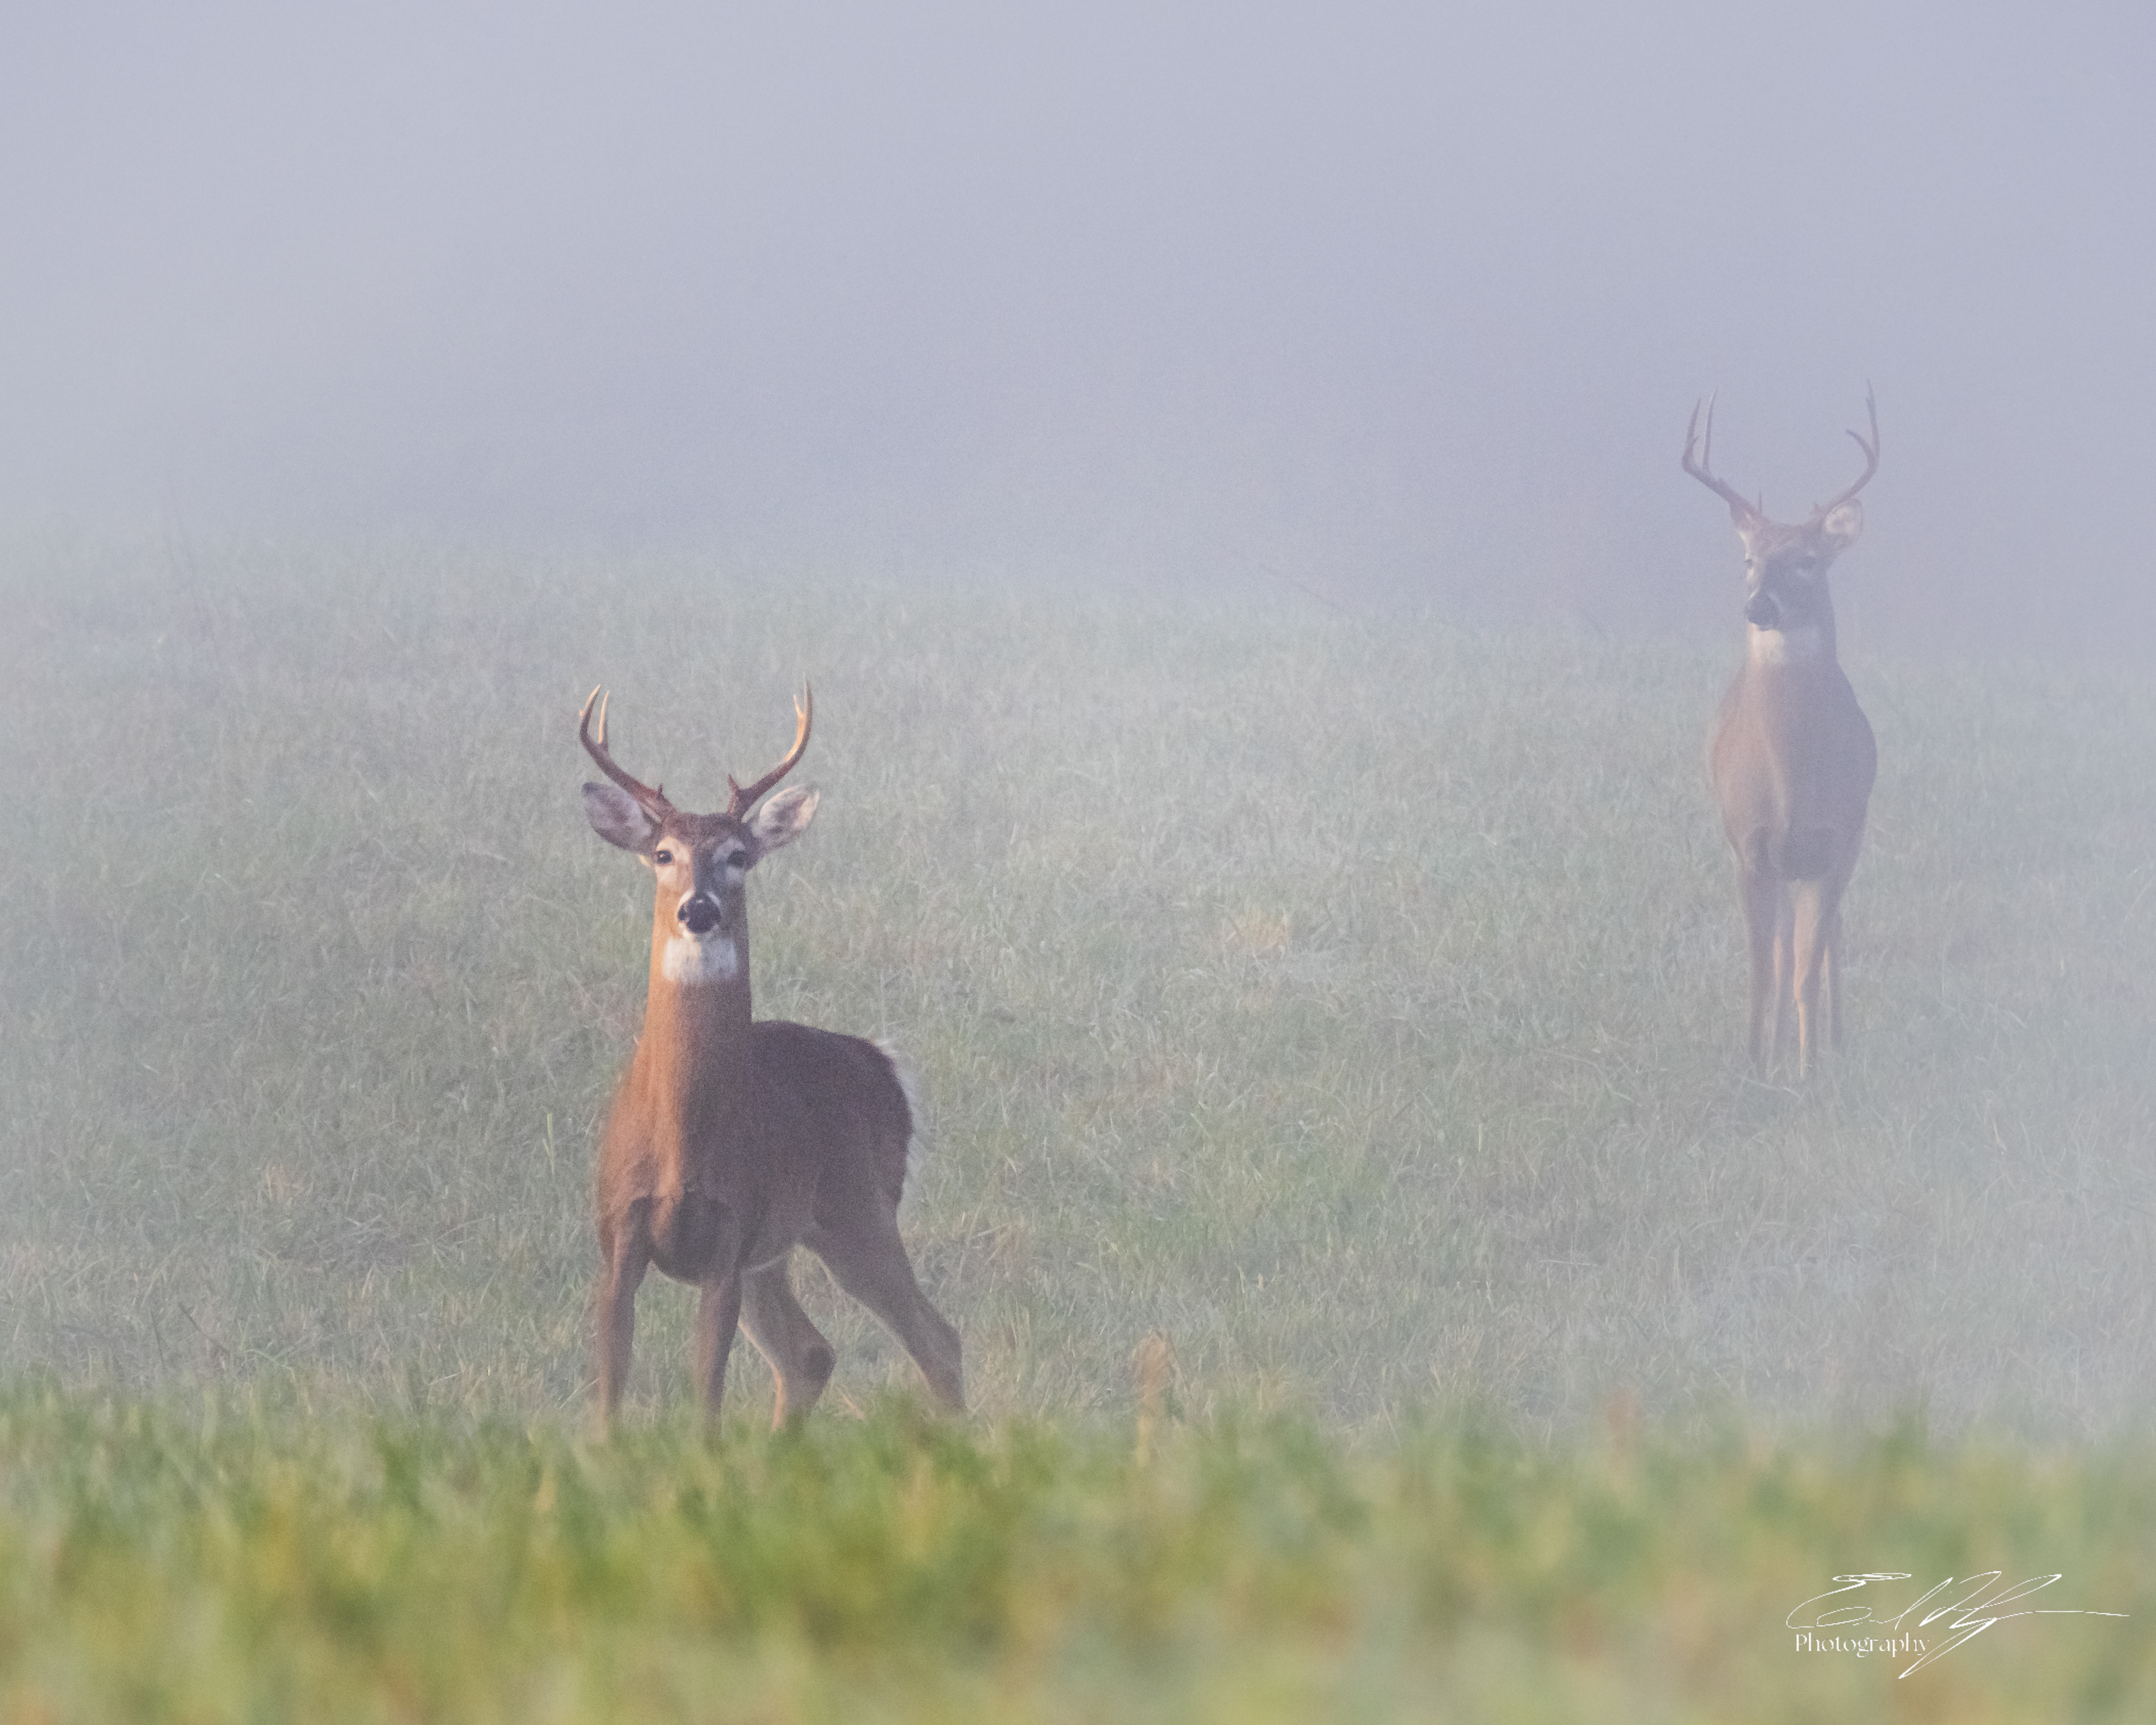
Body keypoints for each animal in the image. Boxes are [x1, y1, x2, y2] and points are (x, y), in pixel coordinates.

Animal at [576, 685, 965, 1429]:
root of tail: (880, 1066)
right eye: (663, 853)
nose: (698, 911)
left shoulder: (731, 1241)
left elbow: (707, 1396)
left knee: (937, 1338)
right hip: (784, 1251)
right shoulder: (619, 1241)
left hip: (856, 1208)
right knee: (809, 1353)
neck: (680, 1138)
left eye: (738, 854)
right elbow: (609, 1396)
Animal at [1683, 389, 1881, 1079]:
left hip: (1845, 846)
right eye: (1749, 560)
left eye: (1807, 562)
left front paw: (1810, 1073)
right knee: (1787, 946)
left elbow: (1804, 970)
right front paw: (1753, 1067)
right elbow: (1764, 969)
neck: (1792, 779)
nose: (1757, 604)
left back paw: (1836, 1043)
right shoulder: (1748, 844)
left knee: (1826, 942)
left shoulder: (1833, 840)